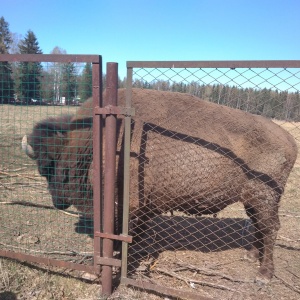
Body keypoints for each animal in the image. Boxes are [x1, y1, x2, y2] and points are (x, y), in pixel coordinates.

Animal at [21, 87, 298, 284]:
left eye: (53, 167)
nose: (58, 203)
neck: (92, 141)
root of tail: (288, 139)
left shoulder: (122, 205)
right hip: (253, 200)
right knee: (258, 224)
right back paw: (251, 255)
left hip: (264, 196)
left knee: (270, 227)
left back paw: (263, 274)